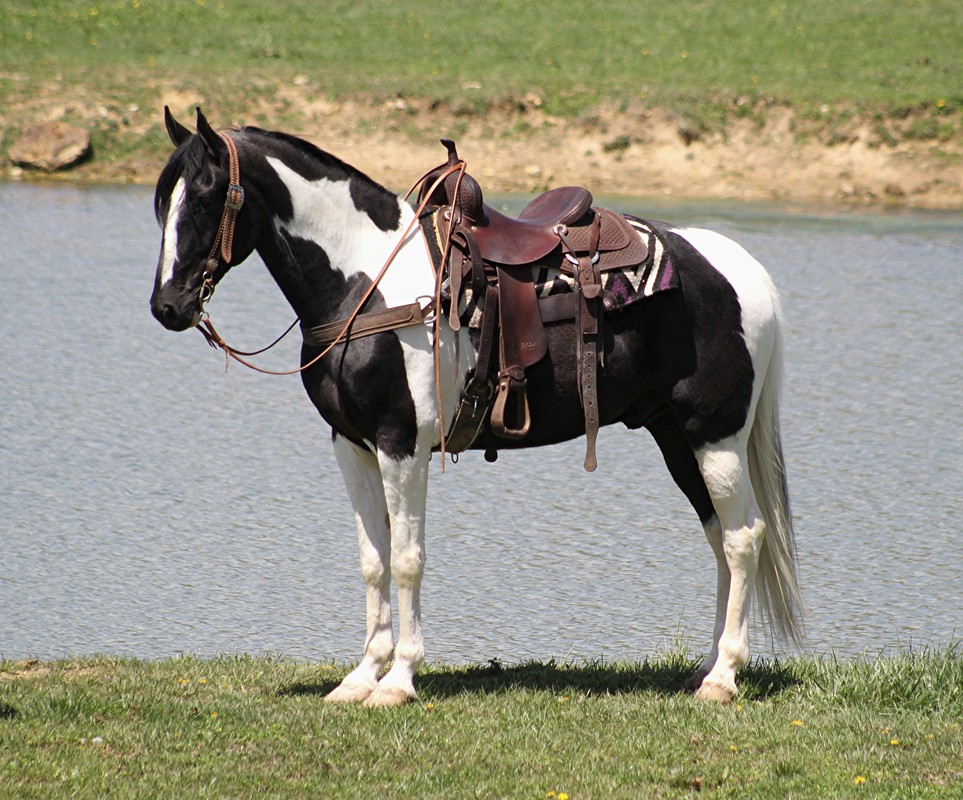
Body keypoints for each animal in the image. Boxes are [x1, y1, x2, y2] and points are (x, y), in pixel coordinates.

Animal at [150, 108, 803, 706]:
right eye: (162, 204)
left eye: (205, 199)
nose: (167, 307)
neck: (367, 284)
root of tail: (745, 271)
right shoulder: (351, 446)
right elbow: (373, 560)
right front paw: (360, 678)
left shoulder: (402, 445)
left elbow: (407, 559)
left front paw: (398, 681)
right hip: (677, 437)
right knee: (719, 538)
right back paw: (707, 668)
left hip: (714, 436)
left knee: (743, 537)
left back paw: (723, 677)